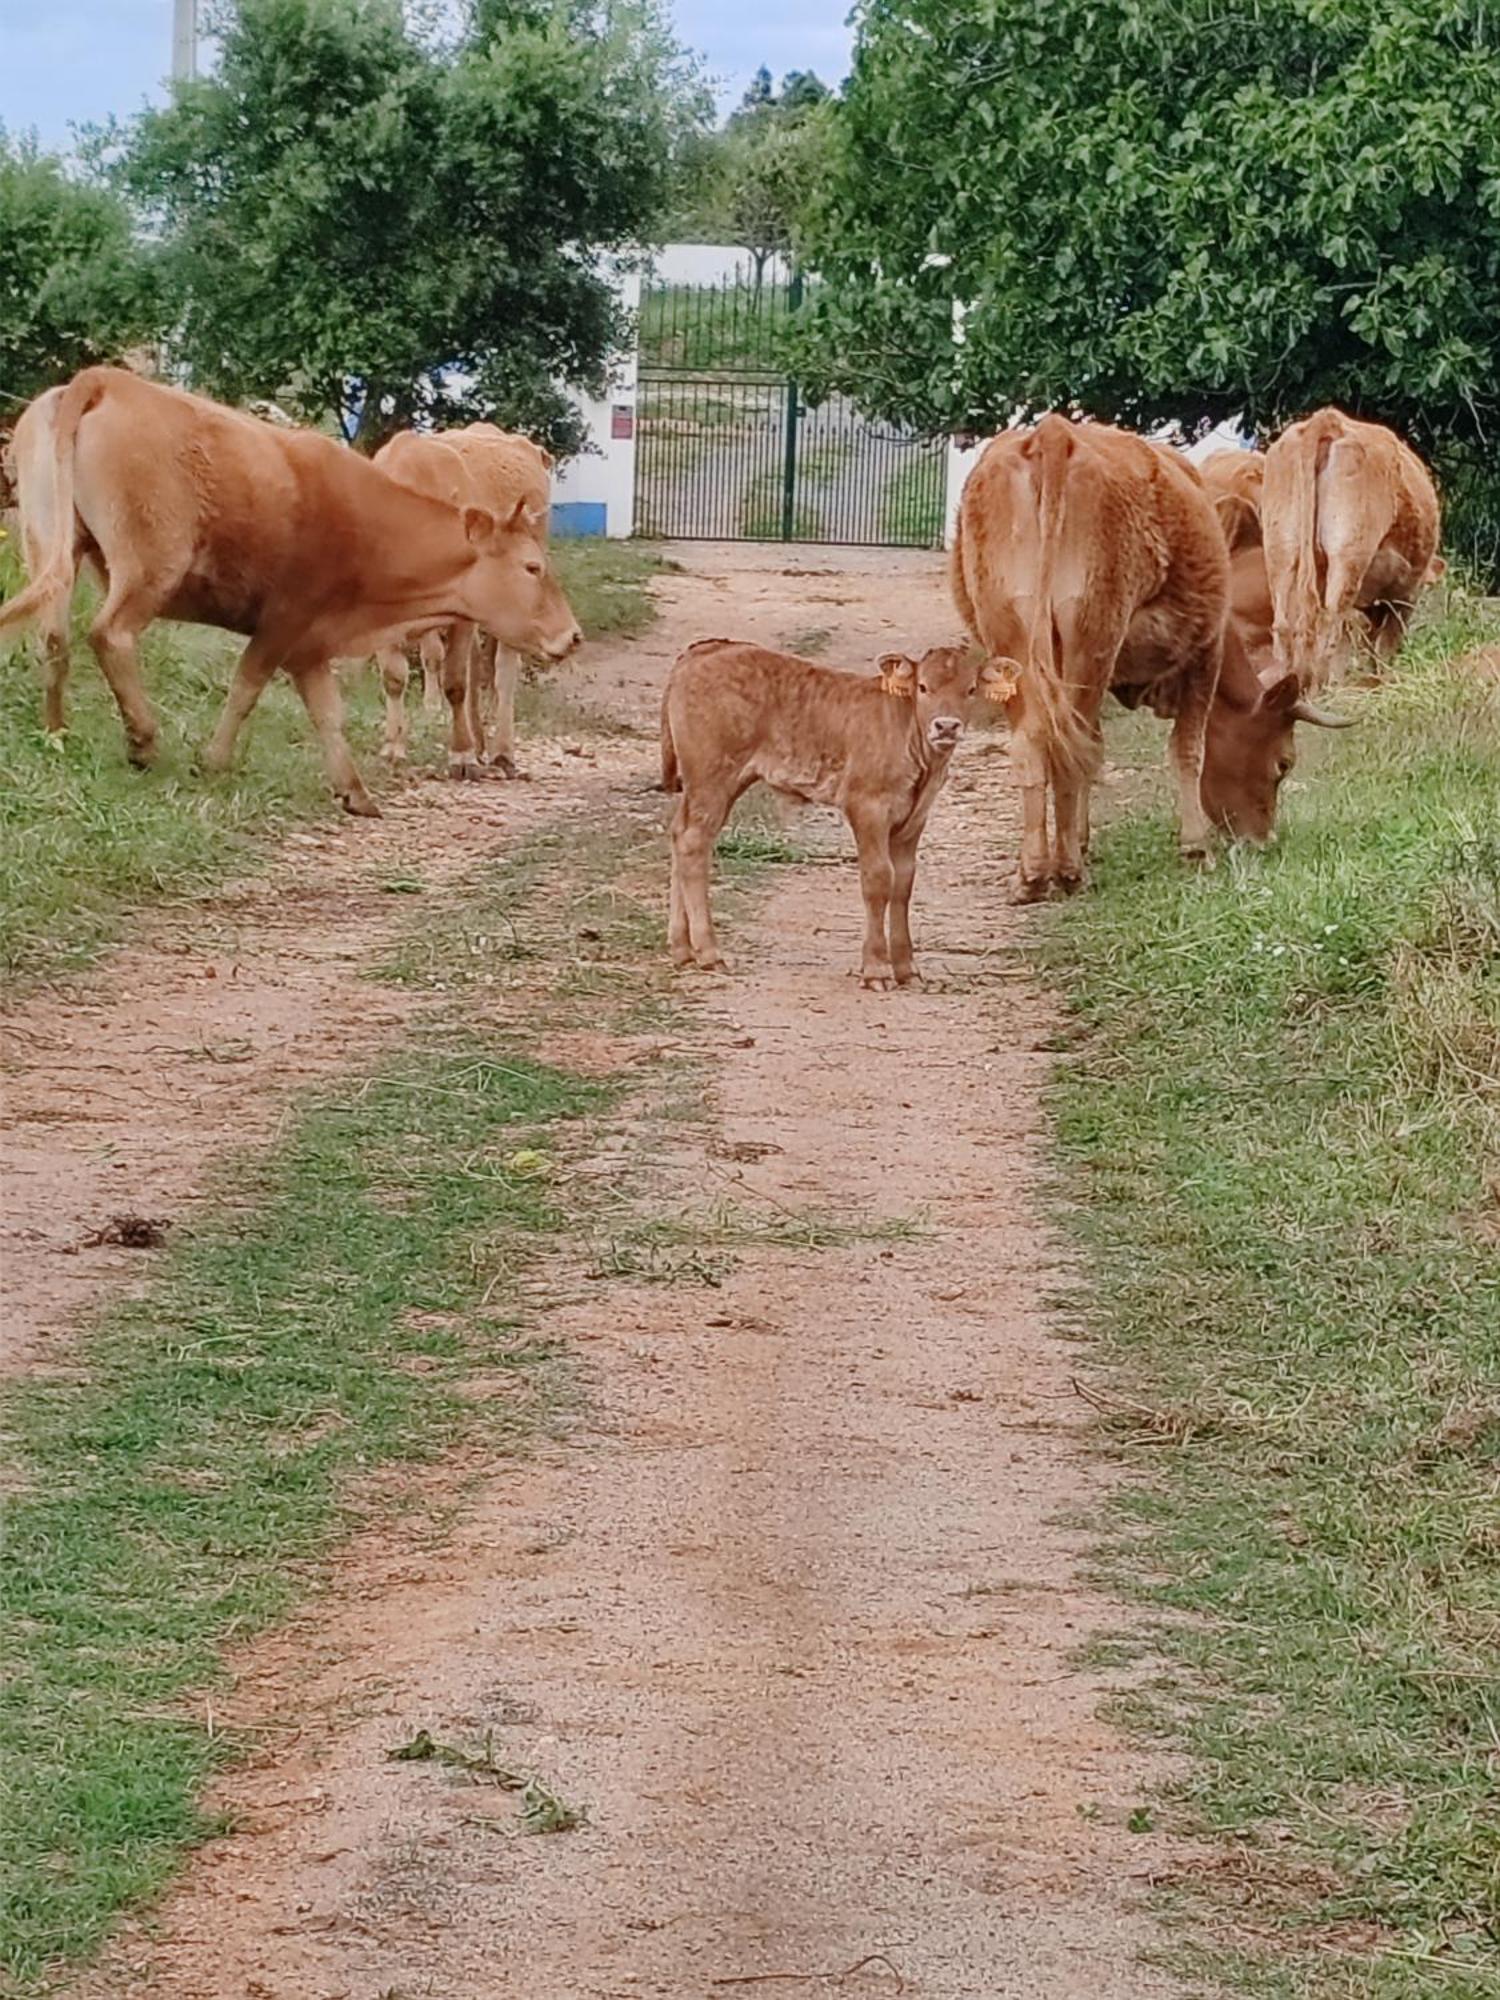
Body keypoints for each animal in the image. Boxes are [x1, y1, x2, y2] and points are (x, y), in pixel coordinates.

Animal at [372, 426, 556, 776]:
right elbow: (394, 678)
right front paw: (393, 748)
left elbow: (455, 682)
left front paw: (461, 755)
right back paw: (480, 741)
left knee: (503, 673)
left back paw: (501, 751)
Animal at [660, 640, 1004, 984]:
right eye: (923, 687)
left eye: (971, 689)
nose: (946, 726)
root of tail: (707, 649)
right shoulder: (867, 806)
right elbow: (878, 878)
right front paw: (877, 968)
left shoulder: (915, 818)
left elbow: (903, 884)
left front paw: (906, 968)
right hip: (712, 776)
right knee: (693, 843)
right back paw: (709, 952)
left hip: (717, 783)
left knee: (680, 835)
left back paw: (683, 950)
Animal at [1264, 406, 1448, 688]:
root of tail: (1329, 419)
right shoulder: (1404, 598)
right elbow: (1383, 645)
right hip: (1348, 556)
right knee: (1329, 623)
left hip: (1281, 550)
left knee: (1285, 626)